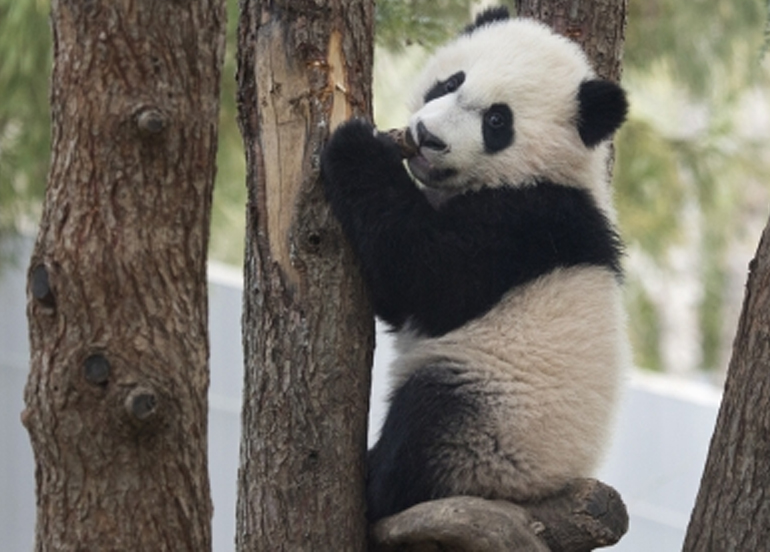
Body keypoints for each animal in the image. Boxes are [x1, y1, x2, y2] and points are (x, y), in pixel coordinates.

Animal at [320, 6, 628, 524]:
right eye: (451, 82)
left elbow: (425, 277)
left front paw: (357, 146)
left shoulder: (526, 224)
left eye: (497, 121)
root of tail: (538, 492)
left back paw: (377, 488)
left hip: (496, 422)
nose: (427, 138)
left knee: (429, 418)